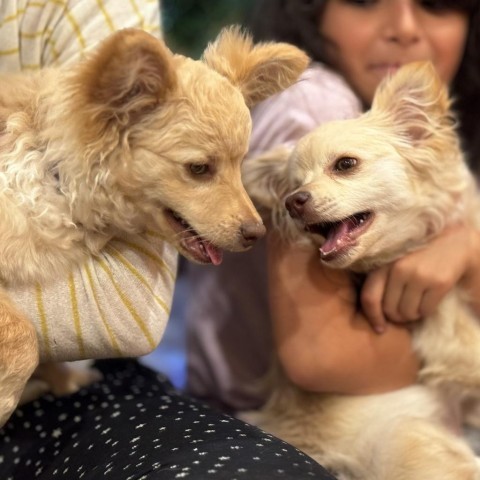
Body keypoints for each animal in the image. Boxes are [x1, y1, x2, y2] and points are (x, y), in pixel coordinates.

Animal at [0, 25, 310, 424]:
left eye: (240, 164)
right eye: (198, 169)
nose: (257, 234)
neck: (52, 174)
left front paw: (64, 380)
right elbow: (24, 337)